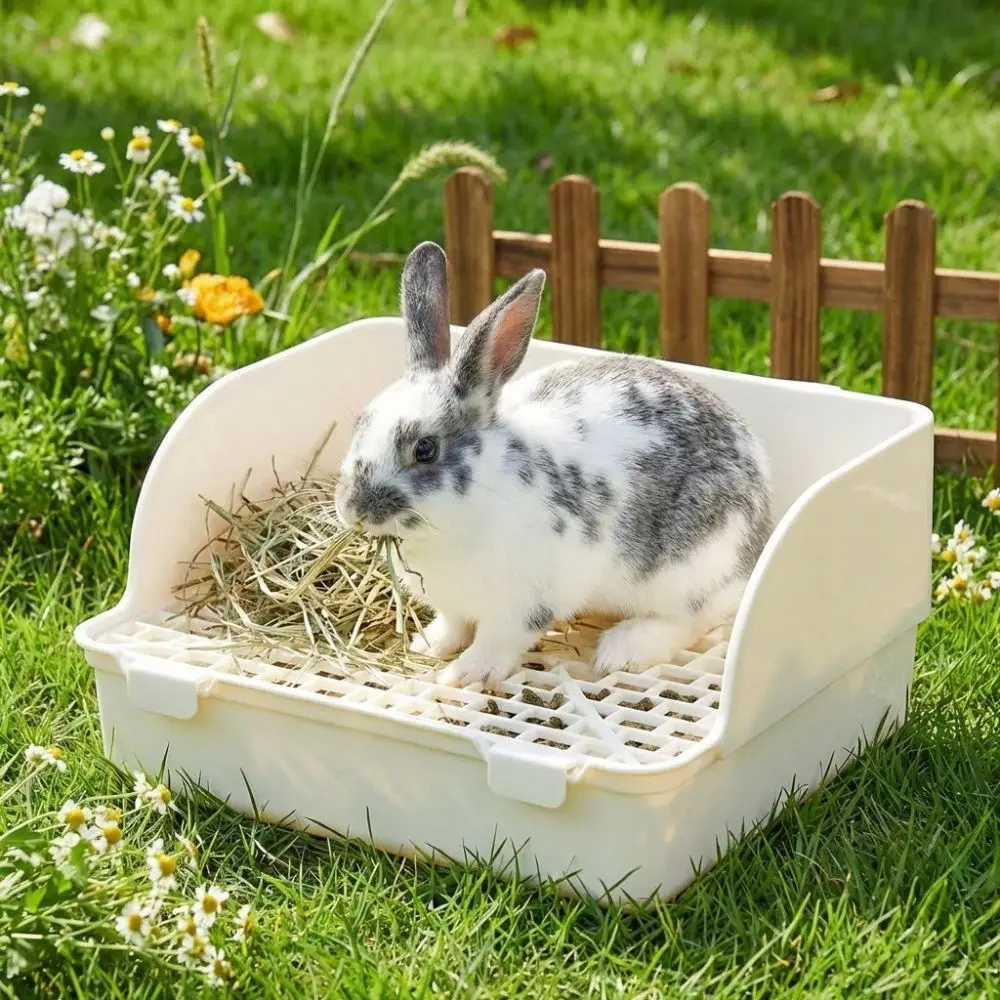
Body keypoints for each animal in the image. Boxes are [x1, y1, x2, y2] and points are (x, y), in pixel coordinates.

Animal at [334, 240, 774, 690]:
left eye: (425, 449)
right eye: (360, 423)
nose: (353, 509)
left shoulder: (525, 604)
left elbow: (497, 641)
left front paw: (465, 674)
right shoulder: (454, 604)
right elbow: (454, 624)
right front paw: (430, 646)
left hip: (690, 571)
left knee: (690, 618)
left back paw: (623, 650)